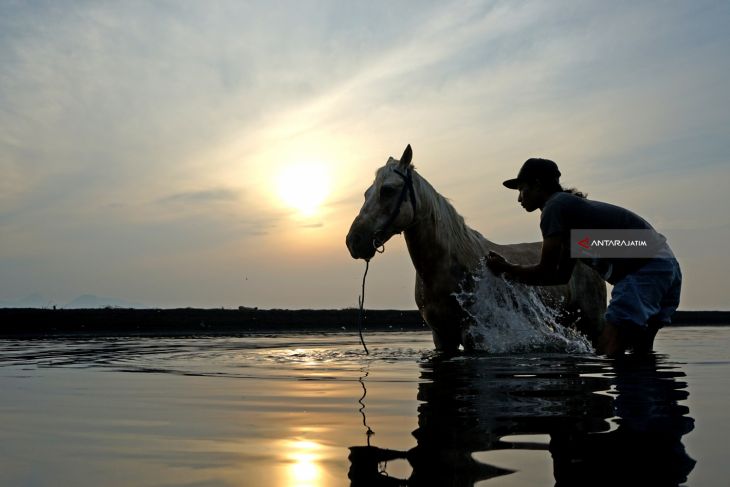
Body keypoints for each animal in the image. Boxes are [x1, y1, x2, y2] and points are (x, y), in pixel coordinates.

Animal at [344, 143, 604, 352]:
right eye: (366, 193)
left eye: (387, 190)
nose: (353, 241)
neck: (444, 267)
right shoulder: (441, 336)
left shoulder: (474, 335)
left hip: (594, 324)